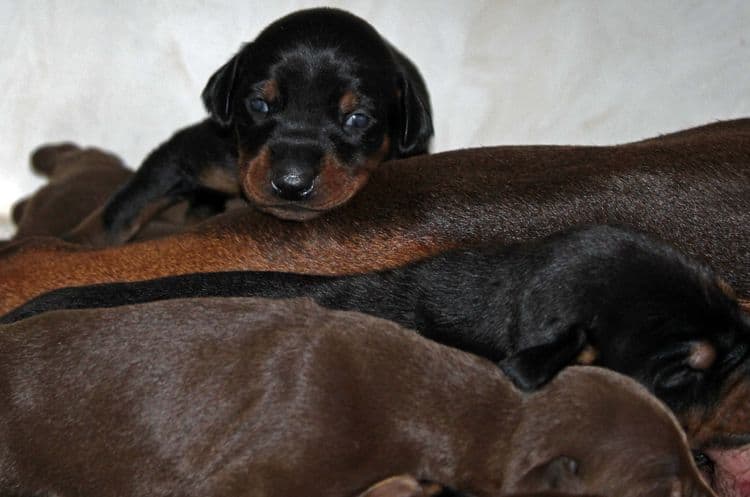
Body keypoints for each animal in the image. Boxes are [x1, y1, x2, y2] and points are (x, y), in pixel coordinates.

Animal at [68, 7, 438, 246]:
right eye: (259, 105)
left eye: (357, 118)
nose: (292, 183)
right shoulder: (197, 153)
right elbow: (124, 207)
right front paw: (74, 248)